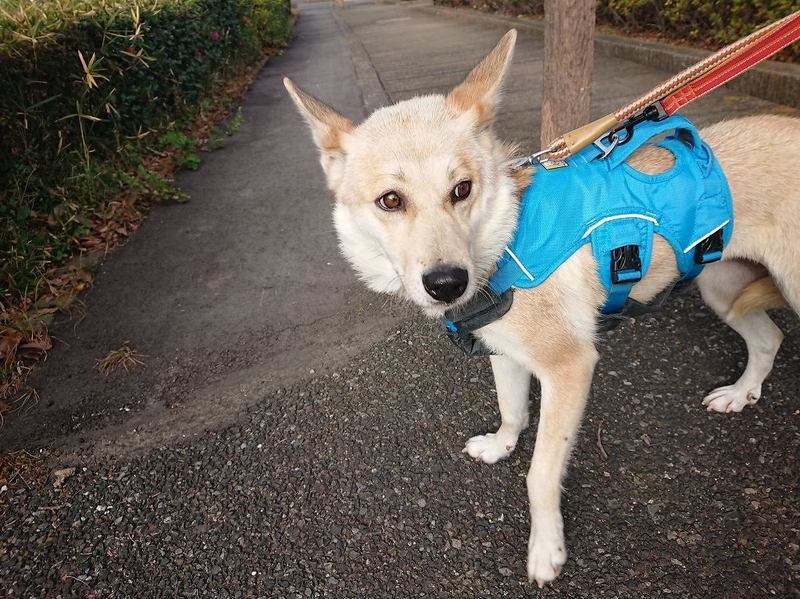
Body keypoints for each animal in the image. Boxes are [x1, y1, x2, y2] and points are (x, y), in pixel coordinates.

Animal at [284, 30, 798, 585]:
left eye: (461, 189)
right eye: (390, 201)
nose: (447, 284)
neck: (505, 239)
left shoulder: (569, 367)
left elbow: (540, 474)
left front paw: (546, 547)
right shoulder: (506, 353)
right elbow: (512, 411)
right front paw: (500, 445)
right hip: (722, 288)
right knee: (769, 338)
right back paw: (741, 394)